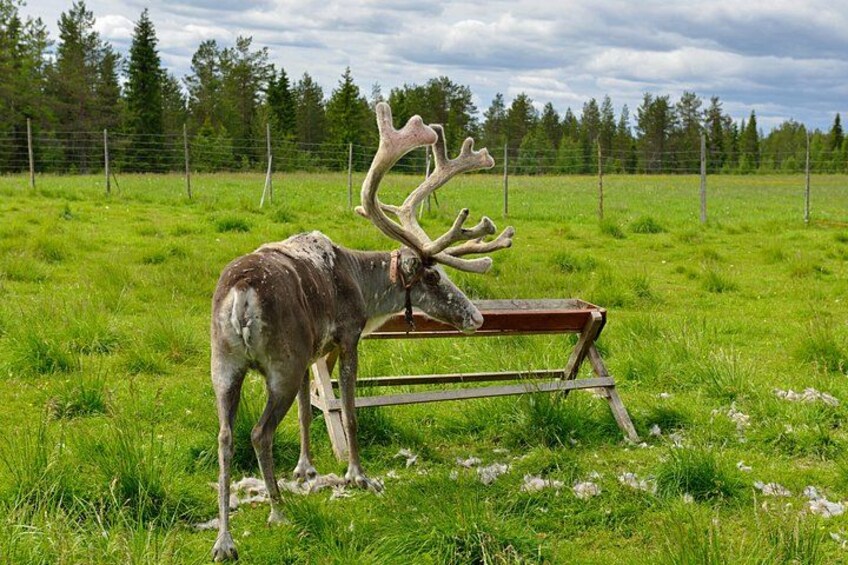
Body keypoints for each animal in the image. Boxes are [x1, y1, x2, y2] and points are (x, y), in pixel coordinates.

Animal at [209, 102, 514, 561]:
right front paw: (358, 474)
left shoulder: (311, 351)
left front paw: (305, 468)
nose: (476, 318)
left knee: (226, 436)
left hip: (225, 364)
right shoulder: (347, 338)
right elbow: (349, 412)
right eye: (432, 277)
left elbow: (307, 411)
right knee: (259, 433)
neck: (361, 286)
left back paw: (225, 539)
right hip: (279, 363)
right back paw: (278, 510)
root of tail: (241, 295)